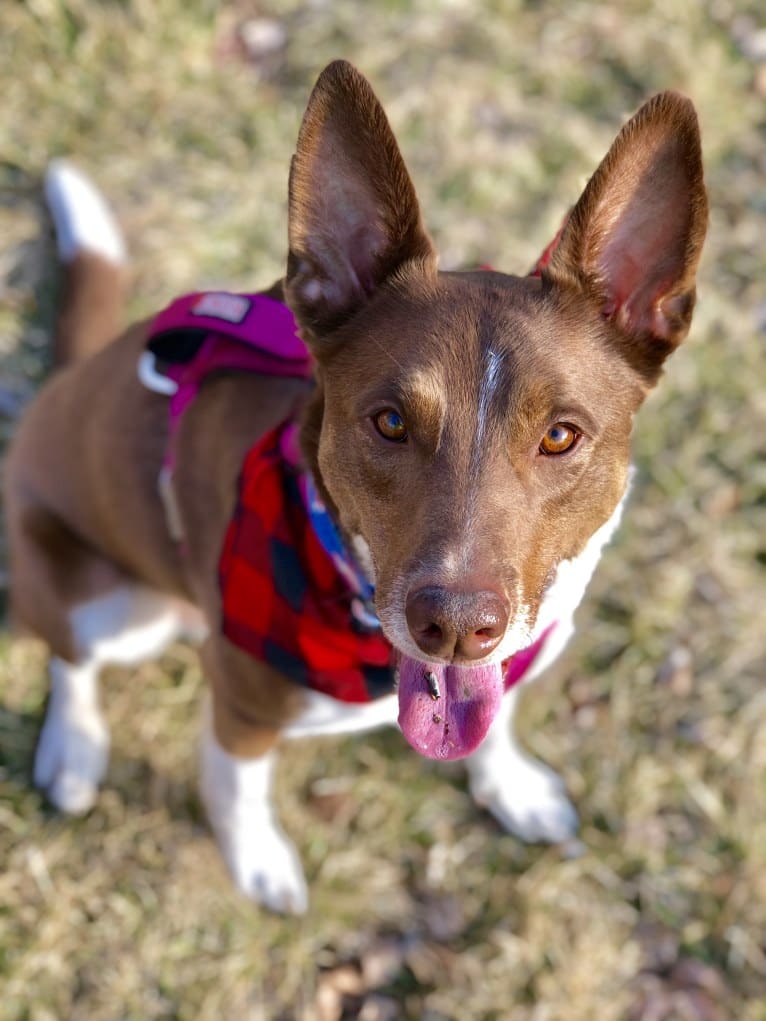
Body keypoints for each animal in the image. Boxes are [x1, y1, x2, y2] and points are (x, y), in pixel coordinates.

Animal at [6, 59, 710, 914]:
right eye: (390, 422)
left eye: (561, 435)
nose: (455, 627)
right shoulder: (240, 703)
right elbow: (236, 789)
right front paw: (256, 862)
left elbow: (495, 717)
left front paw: (509, 785)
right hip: (103, 598)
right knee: (68, 655)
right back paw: (73, 750)